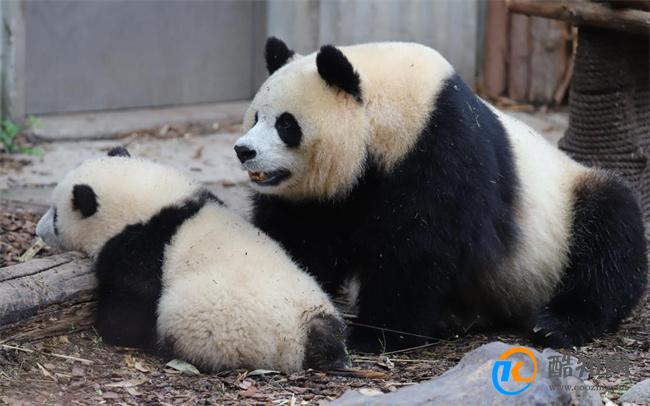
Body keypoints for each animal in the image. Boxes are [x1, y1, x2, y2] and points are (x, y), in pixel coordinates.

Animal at [34, 147, 350, 372]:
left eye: (55, 214)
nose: (38, 230)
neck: (154, 204)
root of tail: (304, 335)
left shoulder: (141, 248)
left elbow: (129, 310)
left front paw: (112, 326)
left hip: (217, 321)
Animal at [232, 38, 644, 356]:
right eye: (255, 117)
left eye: (286, 124)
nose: (243, 151)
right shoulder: (328, 197)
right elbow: (301, 234)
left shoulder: (443, 149)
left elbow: (418, 245)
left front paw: (377, 335)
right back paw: (456, 318)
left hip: (569, 202)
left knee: (610, 235)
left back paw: (556, 323)